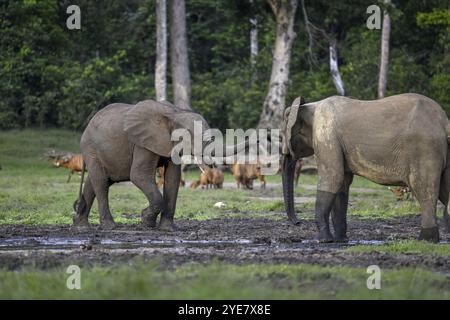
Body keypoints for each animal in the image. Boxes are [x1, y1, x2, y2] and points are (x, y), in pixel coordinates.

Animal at [282, 92, 450, 242]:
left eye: (281, 135)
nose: (298, 222)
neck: (310, 106)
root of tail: (444, 121)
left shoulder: (326, 133)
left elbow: (332, 179)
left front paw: (324, 241)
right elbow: (342, 185)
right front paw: (340, 241)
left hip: (425, 149)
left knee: (424, 190)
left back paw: (425, 240)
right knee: (443, 191)